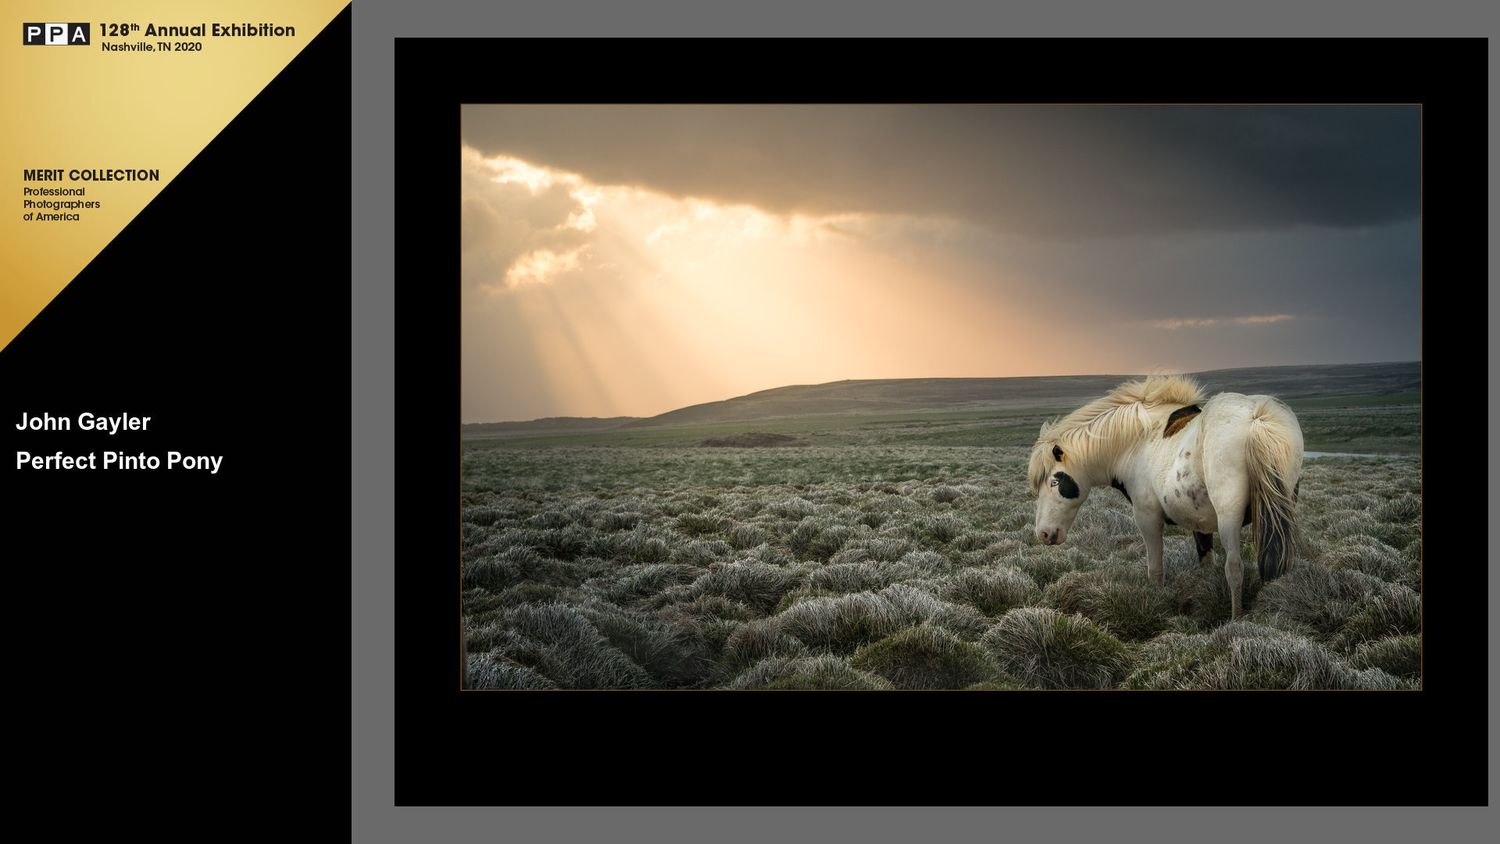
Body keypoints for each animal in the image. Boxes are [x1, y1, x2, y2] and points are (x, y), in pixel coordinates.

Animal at [1027, 374, 1303, 619]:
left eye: (1054, 481)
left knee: (1234, 568)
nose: (1044, 534)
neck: (1137, 441)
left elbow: (1155, 569)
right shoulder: (1200, 523)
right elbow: (1206, 563)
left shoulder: (1148, 518)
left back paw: (1236, 620)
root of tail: (1256, 417)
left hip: (1230, 518)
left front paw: (1157, 603)